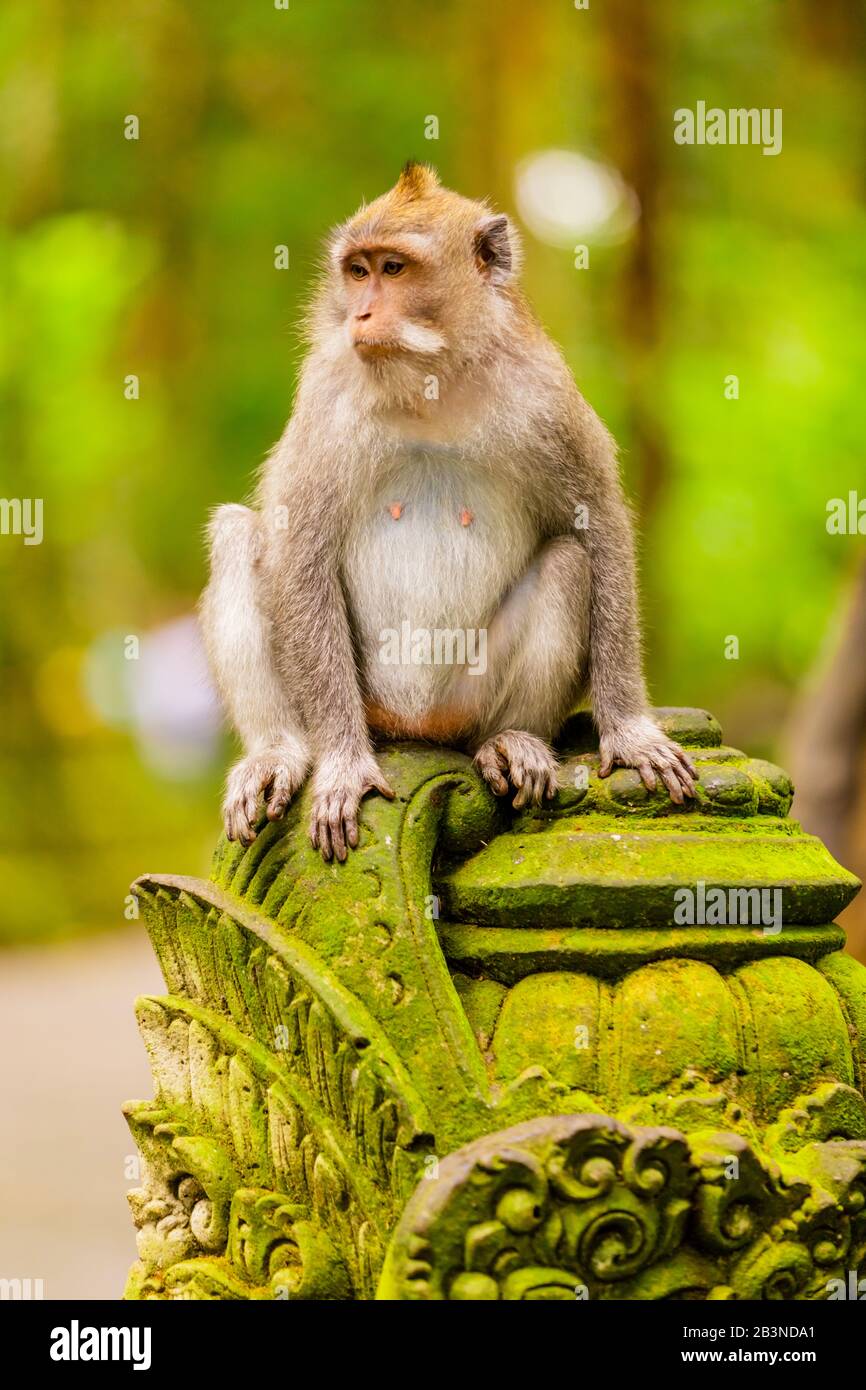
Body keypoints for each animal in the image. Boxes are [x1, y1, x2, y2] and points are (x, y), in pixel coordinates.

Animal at [200, 162, 697, 862]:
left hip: (467, 697)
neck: (430, 382)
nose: (362, 312)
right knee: (239, 536)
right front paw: (342, 766)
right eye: (357, 271)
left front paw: (628, 730)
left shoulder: (546, 393)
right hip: (369, 701)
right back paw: (281, 751)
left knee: (569, 564)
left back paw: (511, 741)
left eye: (394, 268)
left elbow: (596, 524)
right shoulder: (327, 393)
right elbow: (299, 551)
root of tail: (417, 726)